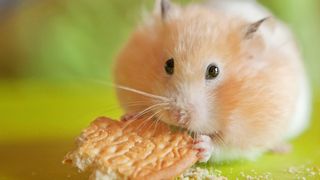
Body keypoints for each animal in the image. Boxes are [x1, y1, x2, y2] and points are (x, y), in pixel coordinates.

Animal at [112, 0, 310, 163]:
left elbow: (226, 147)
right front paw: (129, 117)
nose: (179, 117)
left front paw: (202, 146)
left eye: (213, 71)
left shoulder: (249, 132)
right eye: (168, 64)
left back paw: (282, 148)